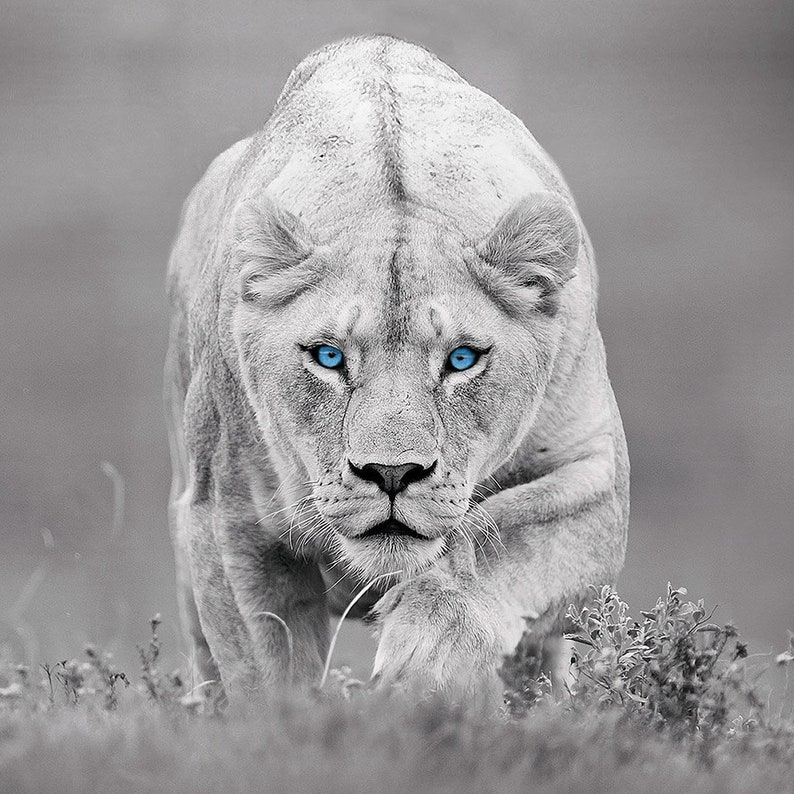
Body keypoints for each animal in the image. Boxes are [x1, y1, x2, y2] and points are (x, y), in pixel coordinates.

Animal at [165, 35, 629, 700]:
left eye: (462, 359)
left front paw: (425, 656)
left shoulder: (596, 477)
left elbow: (498, 538)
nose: (391, 473)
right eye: (329, 357)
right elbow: (268, 676)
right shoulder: (227, 518)